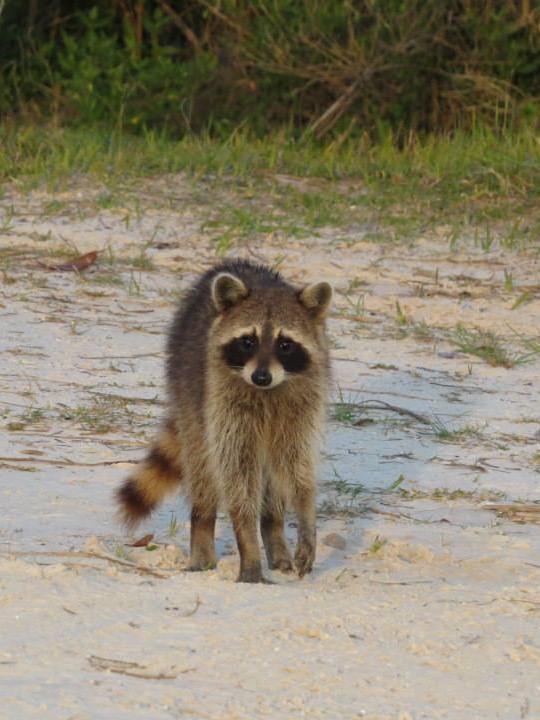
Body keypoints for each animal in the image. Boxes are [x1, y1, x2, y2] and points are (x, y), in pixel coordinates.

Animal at [116, 259, 332, 583]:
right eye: (247, 342)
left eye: (285, 344)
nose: (261, 377)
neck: (267, 391)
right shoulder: (224, 407)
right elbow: (237, 478)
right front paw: (249, 548)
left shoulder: (302, 409)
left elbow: (297, 469)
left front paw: (306, 517)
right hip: (189, 396)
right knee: (203, 470)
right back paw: (203, 532)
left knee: (273, 478)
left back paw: (273, 528)